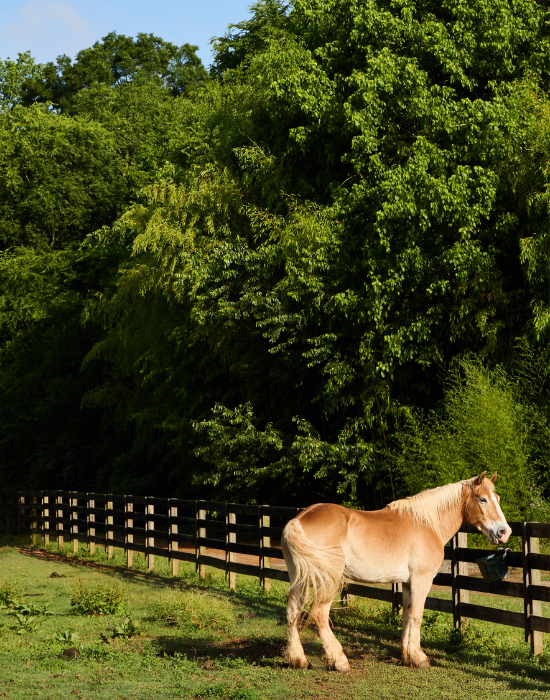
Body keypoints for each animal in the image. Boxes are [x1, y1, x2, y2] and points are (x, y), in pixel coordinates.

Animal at [281, 471, 511, 672]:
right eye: (482, 499)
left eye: (498, 498)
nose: (504, 532)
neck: (428, 524)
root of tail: (298, 521)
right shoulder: (421, 580)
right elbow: (417, 615)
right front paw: (419, 658)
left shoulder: (408, 583)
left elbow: (407, 615)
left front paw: (407, 655)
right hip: (328, 582)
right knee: (320, 614)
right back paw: (339, 661)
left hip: (300, 580)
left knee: (292, 612)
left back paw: (299, 660)